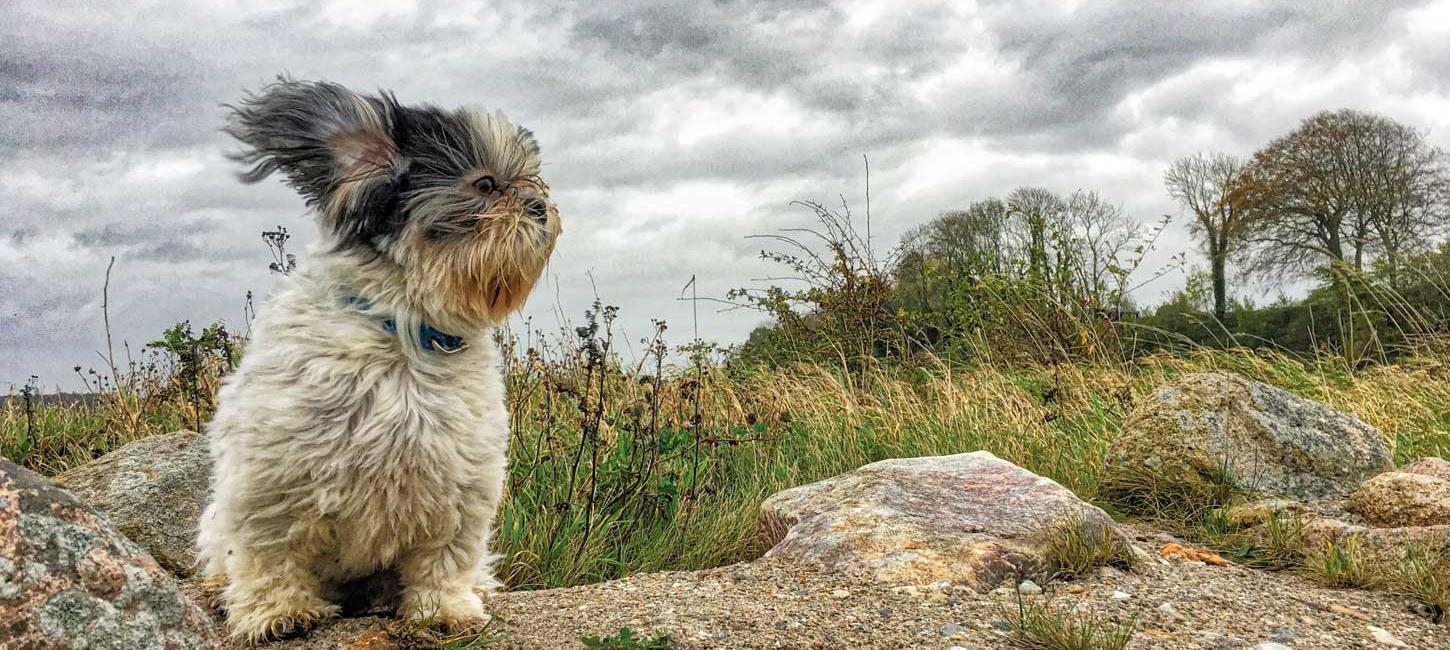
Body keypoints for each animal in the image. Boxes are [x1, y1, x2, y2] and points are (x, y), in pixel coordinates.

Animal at [192, 78, 553, 641]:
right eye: (486, 184)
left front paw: (444, 610)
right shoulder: (269, 484)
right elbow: (270, 557)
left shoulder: (460, 487)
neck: (405, 333)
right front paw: (278, 612)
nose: (540, 206)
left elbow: (444, 560)